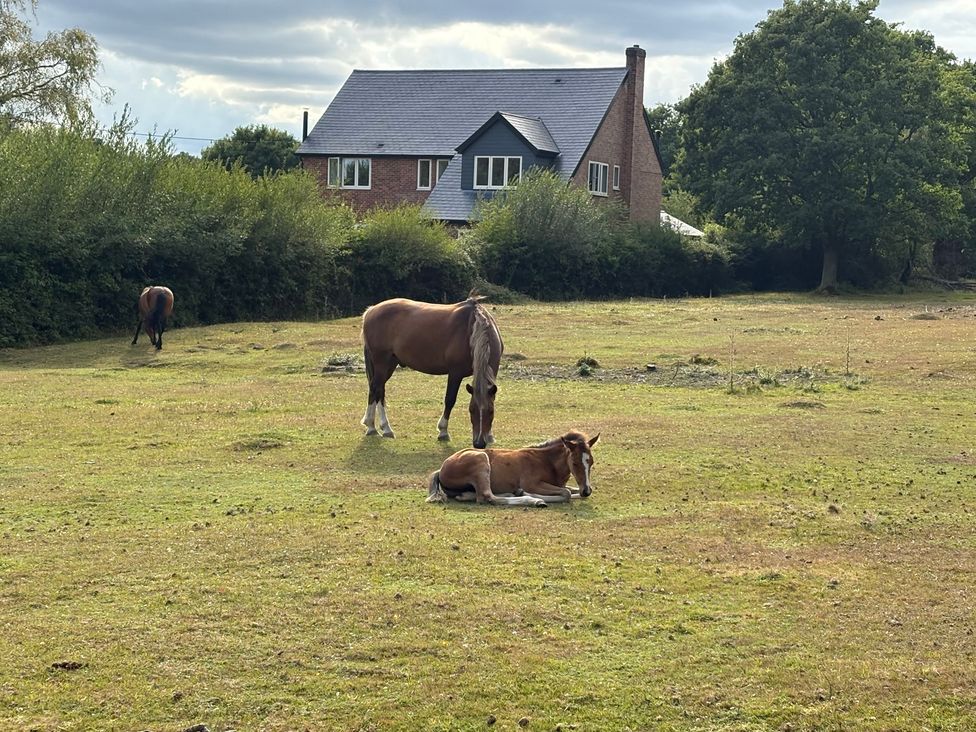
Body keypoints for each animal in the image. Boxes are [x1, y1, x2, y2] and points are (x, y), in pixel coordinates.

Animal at [361, 295, 503, 448]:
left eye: (491, 411)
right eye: (471, 410)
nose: (479, 443)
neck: (472, 329)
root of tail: (371, 311)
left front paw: (490, 436)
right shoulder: (455, 373)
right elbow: (450, 399)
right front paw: (443, 431)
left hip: (390, 364)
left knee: (376, 389)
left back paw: (375, 427)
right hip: (382, 362)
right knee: (377, 389)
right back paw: (382, 428)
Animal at [426, 430, 600, 507]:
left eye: (591, 462)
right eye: (575, 463)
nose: (586, 490)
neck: (546, 462)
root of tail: (441, 470)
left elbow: (570, 491)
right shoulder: (532, 483)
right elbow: (566, 493)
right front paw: (530, 494)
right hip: (480, 459)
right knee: (487, 496)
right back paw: (533, 500)